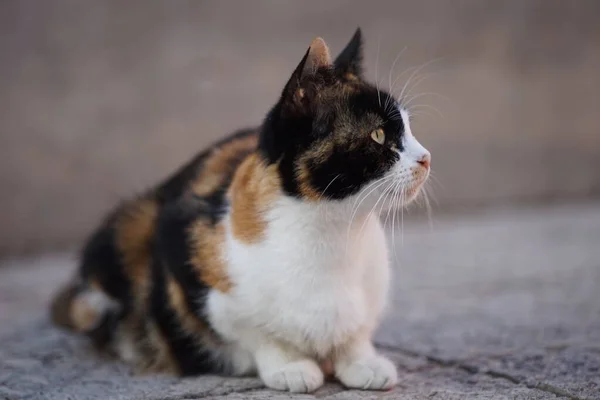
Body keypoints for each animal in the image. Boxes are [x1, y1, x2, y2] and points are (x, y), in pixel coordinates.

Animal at [49, 28, 428, 394]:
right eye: (378, 135)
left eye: (409, 129)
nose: (426, 158)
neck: (333, 229)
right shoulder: (199, 271)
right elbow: (259, 335)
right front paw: (290, 367)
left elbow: (354, 334)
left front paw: (363, 362)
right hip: (130, 226)